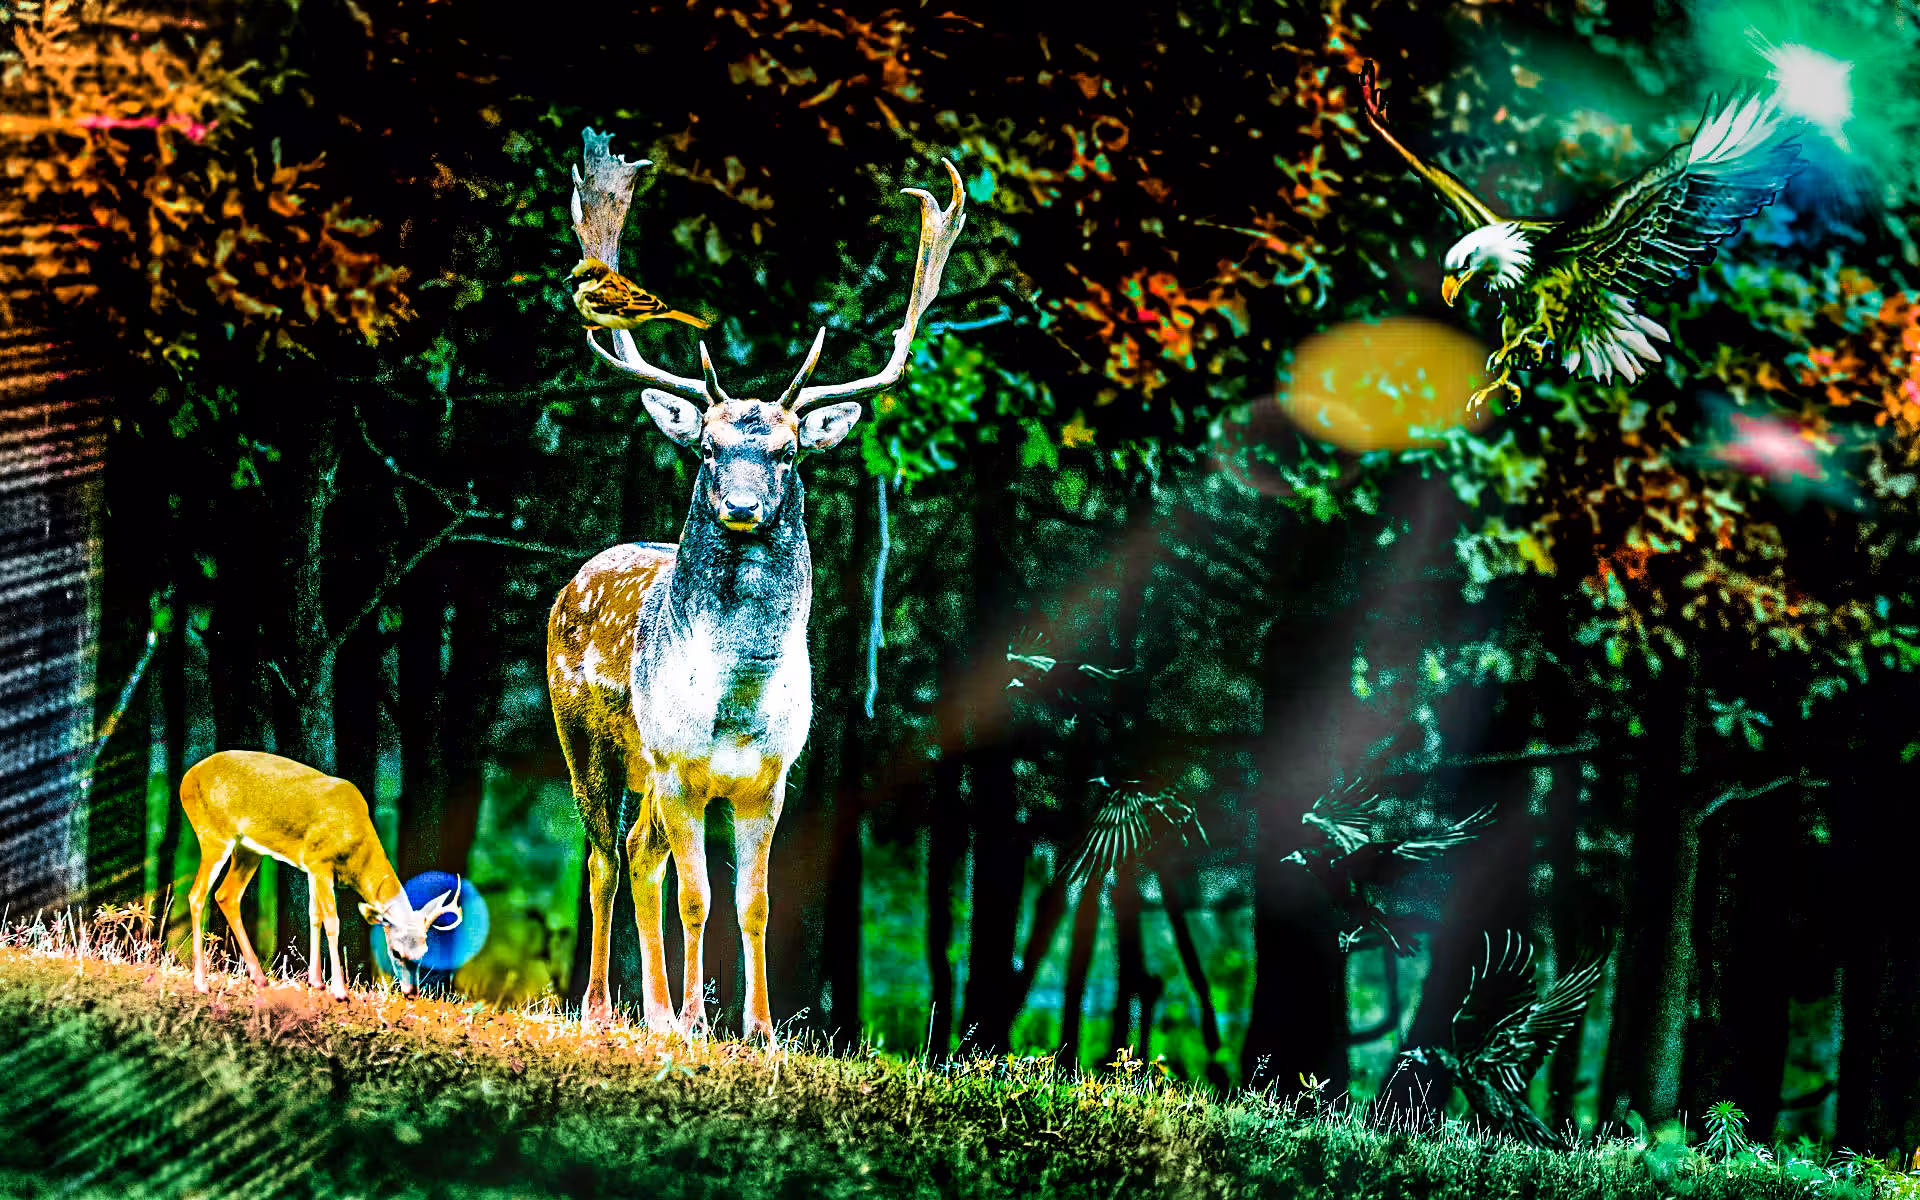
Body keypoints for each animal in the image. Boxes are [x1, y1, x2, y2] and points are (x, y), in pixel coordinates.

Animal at [180, 749, 462, 1001]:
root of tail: (188, 776)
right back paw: (201, 984)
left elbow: (314, 916)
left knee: (226, 895)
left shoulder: (314, 869)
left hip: (248, 848)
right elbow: (332, 921)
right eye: (394, 952)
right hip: (214, 834)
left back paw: (259, 978)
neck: (357, 854)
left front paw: (316, 982)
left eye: (424, 951)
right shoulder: (321, 862)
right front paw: (339, 991)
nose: (411, 992)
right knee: (197, 894)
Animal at [548, 129, 966, 1041]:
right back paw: (604, 1008)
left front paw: (761, 1029)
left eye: (787, 451)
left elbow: (755, 902)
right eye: (708, 446)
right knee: (602, 857)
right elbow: (698, 898)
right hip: (587, 739)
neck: (735, 700)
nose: (740, 506)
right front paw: (699, 1023)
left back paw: (654, 1011)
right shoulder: (679, 765)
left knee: (637, 854)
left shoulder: (771, 777)